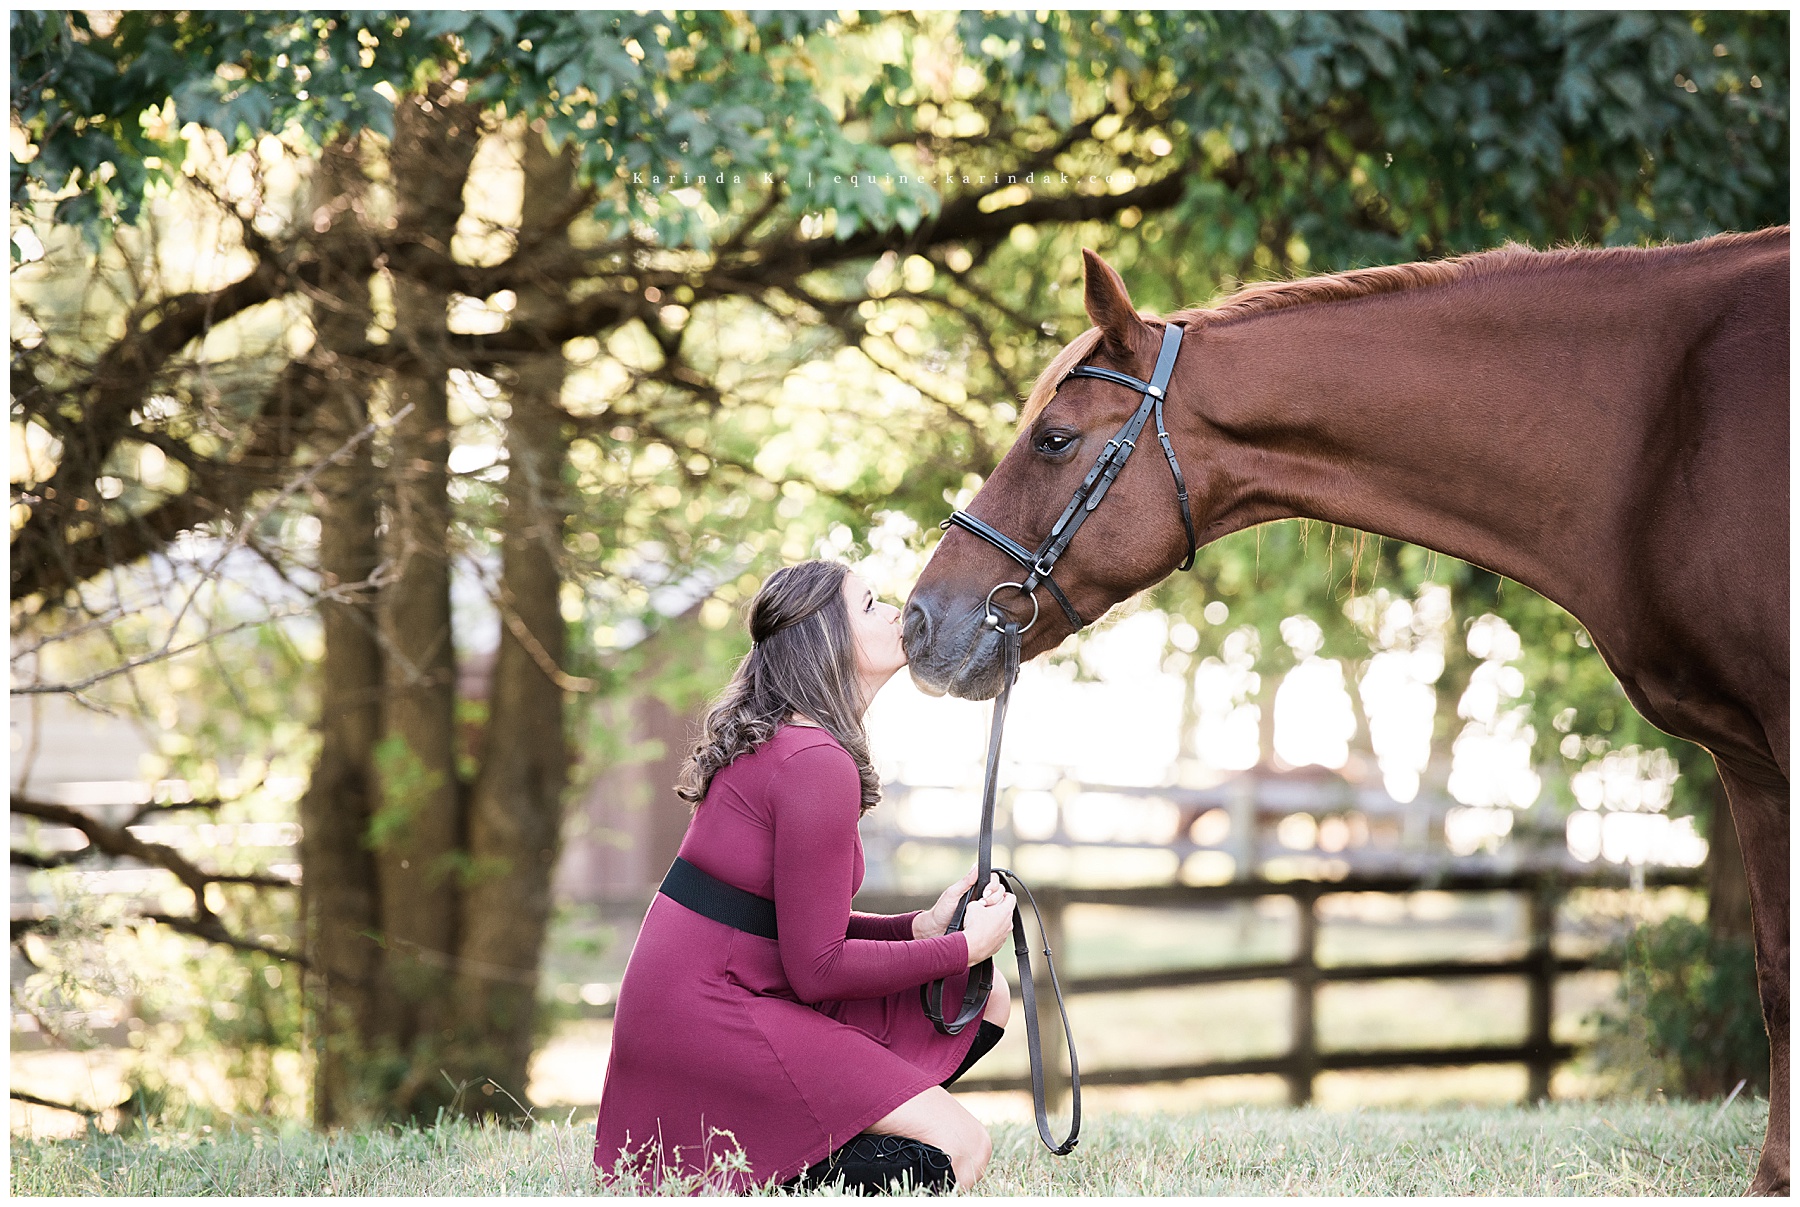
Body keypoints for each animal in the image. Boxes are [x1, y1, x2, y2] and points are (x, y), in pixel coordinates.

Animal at [902, 230, 1789, 1192]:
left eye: (1055, 439)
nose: (919, 621)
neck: (1658, 433)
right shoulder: (1749, 761)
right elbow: (1775, 970)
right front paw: (1774, 1178)